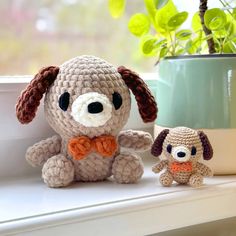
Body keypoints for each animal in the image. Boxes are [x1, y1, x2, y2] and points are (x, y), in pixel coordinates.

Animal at [15, 54, 158, 187]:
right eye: (63, 100)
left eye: (118, 99)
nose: (95, 105)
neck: (92, 140)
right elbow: (48, 145)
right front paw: (31, 155)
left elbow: (128, 137)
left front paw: (146, 139)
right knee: (60, 164)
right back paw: (56, 170)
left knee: (126, 161)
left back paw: (127, 165)